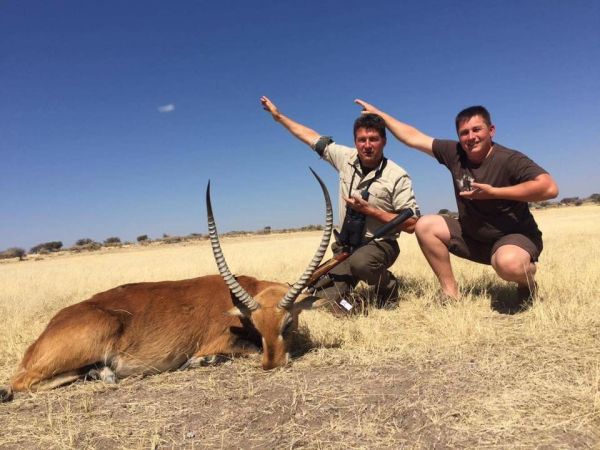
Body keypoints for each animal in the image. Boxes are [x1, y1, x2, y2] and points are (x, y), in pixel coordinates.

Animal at [0, 169, 333, 403]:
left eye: (288, 323)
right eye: (257, 325)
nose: (272, 364)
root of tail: (44, 334)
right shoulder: (223, 342)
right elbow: (242, 350)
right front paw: (202, 361)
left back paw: (98, 373)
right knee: (18, 383)